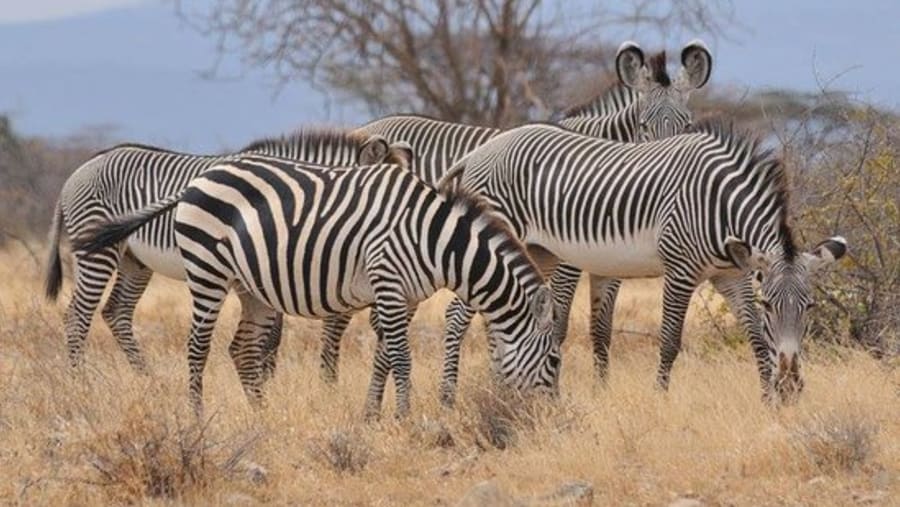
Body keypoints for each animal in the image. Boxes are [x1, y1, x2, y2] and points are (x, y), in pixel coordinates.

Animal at [45, 129, 412, 374]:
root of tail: (80, 169)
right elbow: (270, 338)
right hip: (99, 254)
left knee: (116, 313)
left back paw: (146, 379)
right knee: (77, 316)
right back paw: (81, 384)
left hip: (135, 261)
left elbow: (271, 336)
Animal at [74, 155, 562, 418]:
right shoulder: (388, 282)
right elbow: (401, 358)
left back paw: (262, 415)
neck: (435, 240)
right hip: (206, 270)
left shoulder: (403, 297)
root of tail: (203, 175)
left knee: (241, 349)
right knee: (198, 346)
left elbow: (384, 357)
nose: (552, 420)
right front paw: (405, 417)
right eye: (554, 360)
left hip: (251, 287)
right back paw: (196, 415)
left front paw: (372, 415)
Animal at [313, 40, 713, 390]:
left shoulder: (611, 261)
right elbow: (559, 324)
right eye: (643, 125)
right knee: (338, 315)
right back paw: (333, 386)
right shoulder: (567, 258)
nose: (666, 161)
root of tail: (364, 130)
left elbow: (601, 328)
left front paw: (601, 391)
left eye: (688, 124)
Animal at [436, 120, 847, 403]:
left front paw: (769, 400)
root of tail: (481, 150)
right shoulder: (681, 269)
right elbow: (670, 340)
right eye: (770, 305)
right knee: (456, 316)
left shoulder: (732, 274)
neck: (719, 206)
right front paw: (660, 397)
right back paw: (449, 397)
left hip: (541, 252)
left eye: (810, 306)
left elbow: (758, 339)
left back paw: (500, 387)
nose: (792, 384)